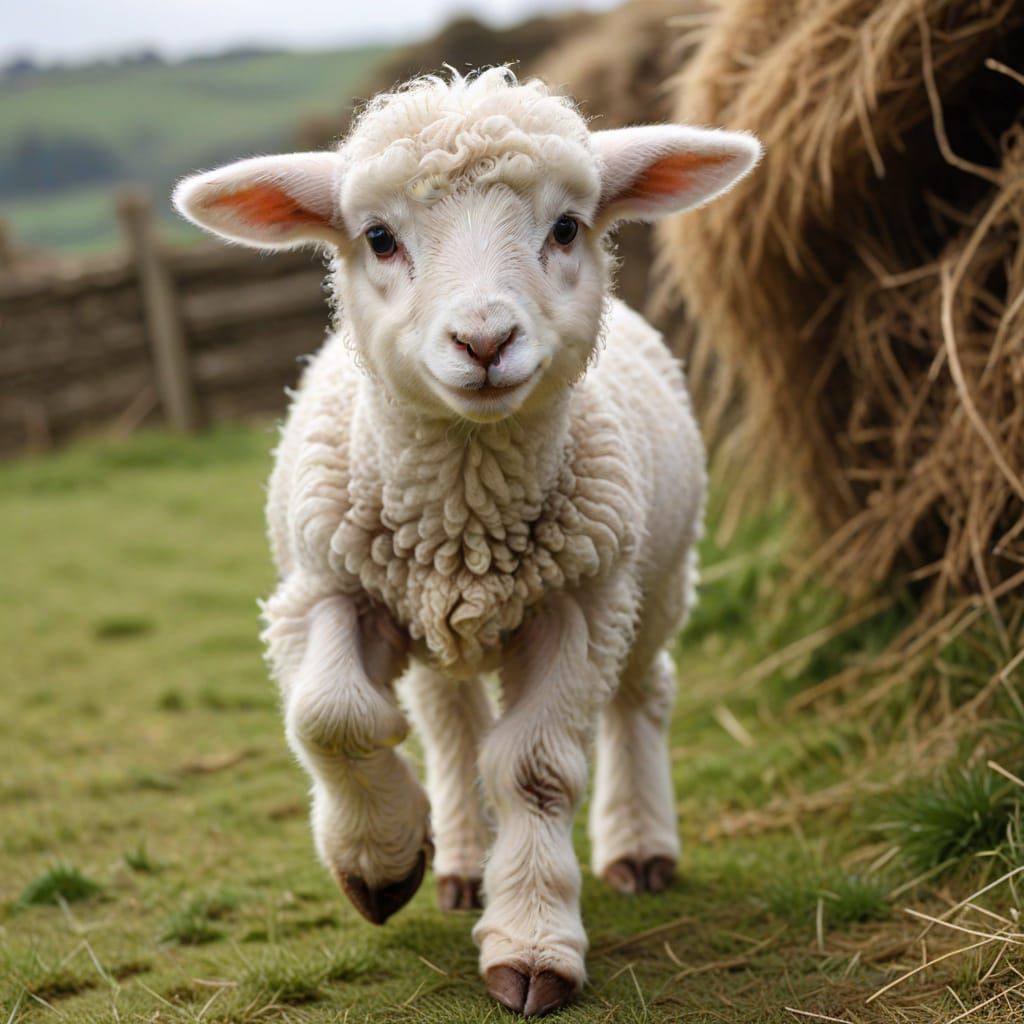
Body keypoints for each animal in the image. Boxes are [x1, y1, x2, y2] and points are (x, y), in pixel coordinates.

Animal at [173, 67, 760, 1017]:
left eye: (566, 227)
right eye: (378, 238)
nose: (484, 340)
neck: (464, 521)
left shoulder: (577, 606)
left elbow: (535, 770)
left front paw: (532, 946)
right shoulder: (324, 587)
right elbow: (331, 716)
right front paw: (378, 861)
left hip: (655, 580)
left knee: (642, 696)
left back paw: (637, 844)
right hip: (434, 626)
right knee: (449, 725)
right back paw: (461, 858)